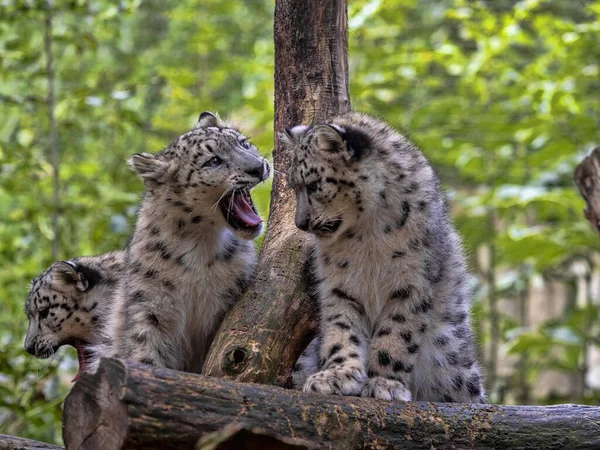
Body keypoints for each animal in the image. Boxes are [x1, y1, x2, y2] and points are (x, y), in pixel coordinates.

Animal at [91, 112, 270, 372]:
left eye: (244, 143)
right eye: (213, 161)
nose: (258, 167)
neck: (200, 248)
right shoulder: (148, 307)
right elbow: (145, 352)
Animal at [284, 110, 486, 402]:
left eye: (313, 185)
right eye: (294, 187)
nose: (300, 223)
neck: (366, 235)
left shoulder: (412, 284)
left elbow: (396, 333)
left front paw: (385, 384)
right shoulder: (339, 286)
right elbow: (341, 331)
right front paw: (337, 376)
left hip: (450, 360)